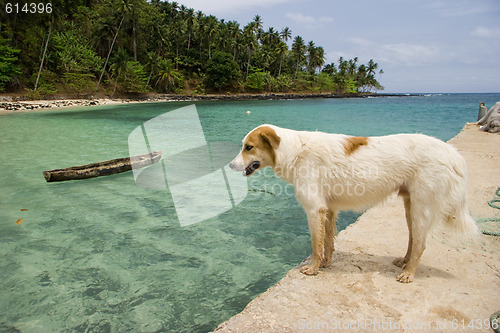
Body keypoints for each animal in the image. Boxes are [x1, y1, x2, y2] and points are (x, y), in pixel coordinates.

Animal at [230, 124, 480, 282]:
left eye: (248, 147)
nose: (230, 165)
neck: (295, 152)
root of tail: (452, 153)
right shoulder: (328, 210)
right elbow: (328, 242)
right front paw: (326, 264)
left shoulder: (314, 209)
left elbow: (315, 245)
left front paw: (313, 268)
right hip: (410, 207)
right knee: (413, 239)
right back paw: (404, 262)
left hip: (421, 208)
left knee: (421, 244)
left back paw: (409, 273)